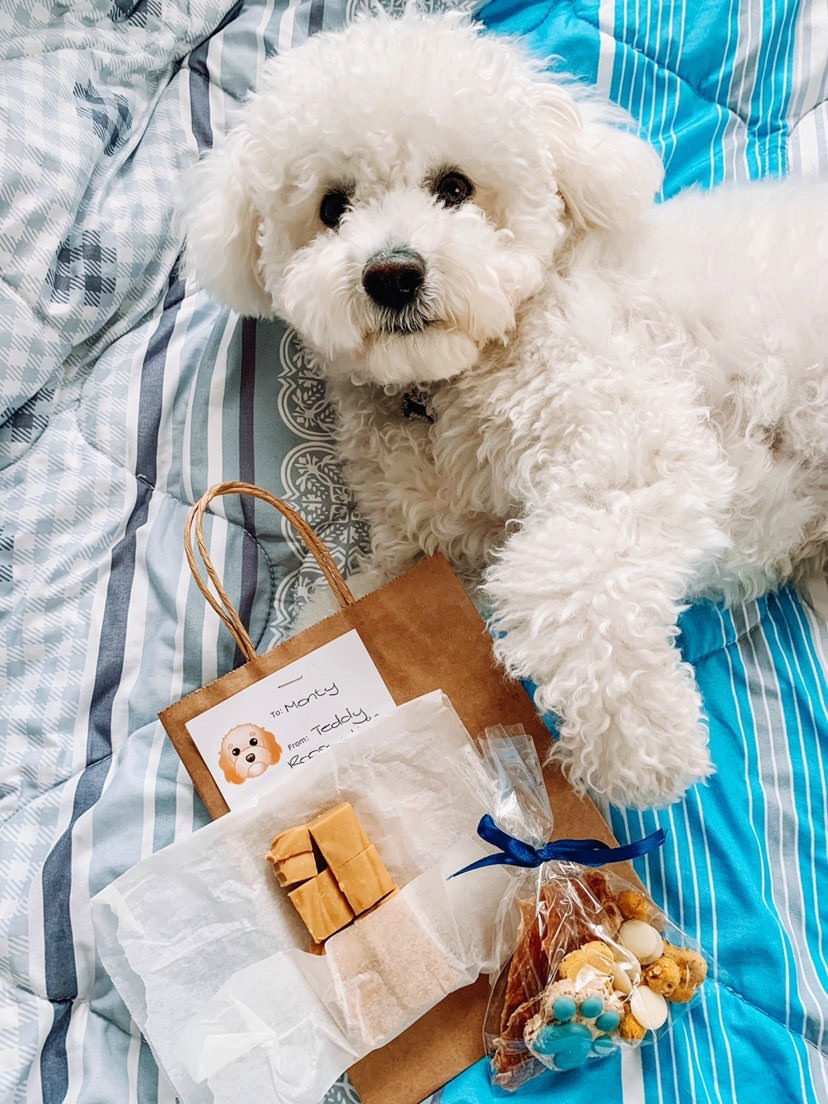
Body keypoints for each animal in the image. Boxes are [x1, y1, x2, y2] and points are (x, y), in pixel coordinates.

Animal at [186, 10, 828, 812]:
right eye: (333, 207)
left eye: (455, 187)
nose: (392, 275)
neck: (447, 388)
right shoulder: (442, 556)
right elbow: (352, 610)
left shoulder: (629, 449)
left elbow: (568, 578)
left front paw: (638, 740)